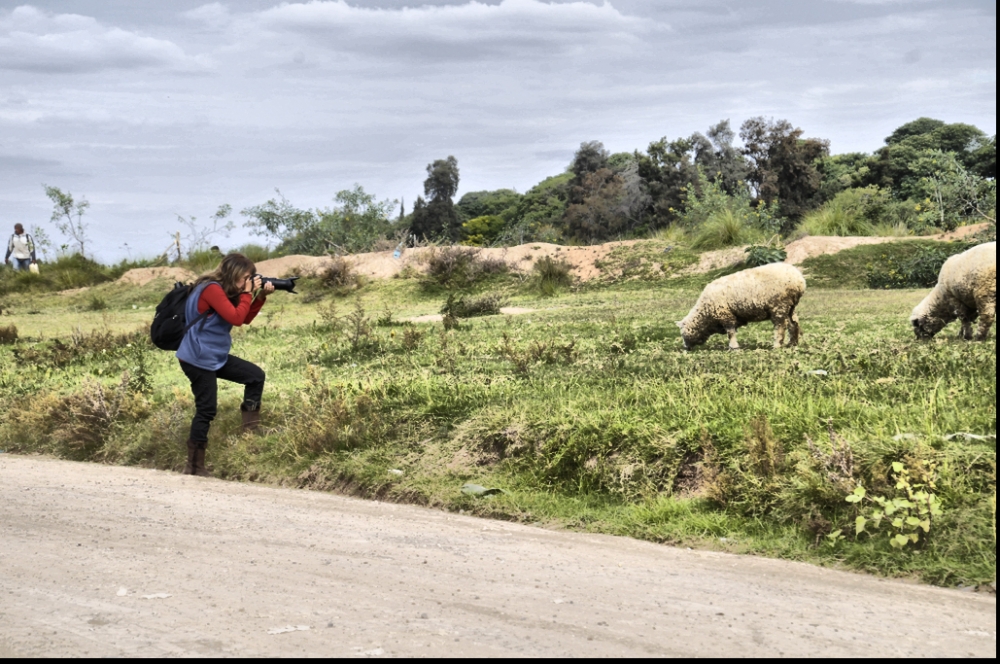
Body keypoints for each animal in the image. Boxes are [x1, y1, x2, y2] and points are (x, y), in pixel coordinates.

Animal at [676, 262, 808, 350]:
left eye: (682, 333)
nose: (685, 348)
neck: (705, 315)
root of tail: (799, 280)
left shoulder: (726, 315)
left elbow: (731, 333)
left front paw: (733, 347)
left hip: (779, 305)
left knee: (780, 326)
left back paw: (776, 345)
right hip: (790, 307)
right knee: (794, 323)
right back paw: (792, 344)